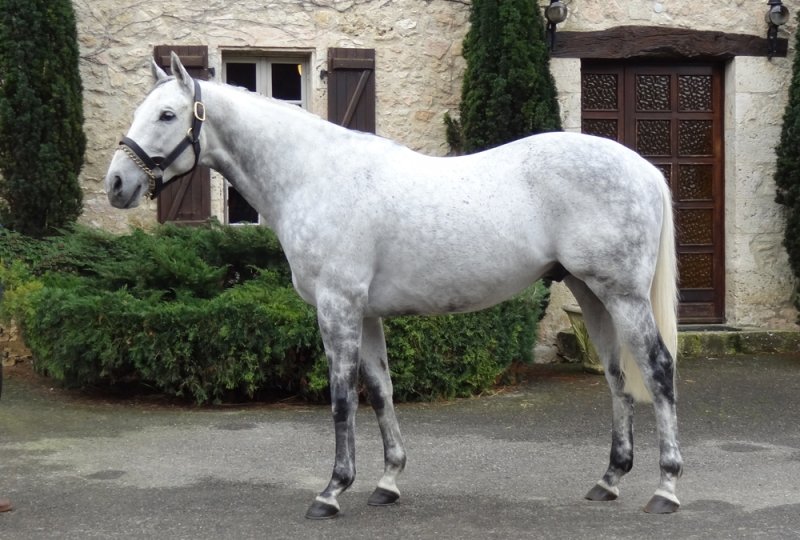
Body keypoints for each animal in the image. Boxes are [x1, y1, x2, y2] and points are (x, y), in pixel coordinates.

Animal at [105, 52, 682, 519]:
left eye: (167, 114)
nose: (116, 184)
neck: (315, 177)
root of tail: (645, 169)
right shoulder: (365, 313)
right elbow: (381, 390)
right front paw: (387, 482)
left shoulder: (337, 308)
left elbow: (342, 398)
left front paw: (332, 491)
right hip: (591, 293)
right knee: (616, 376)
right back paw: (609, 480)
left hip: (623, 295)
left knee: (656, 368)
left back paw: (667, 489)